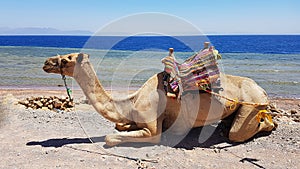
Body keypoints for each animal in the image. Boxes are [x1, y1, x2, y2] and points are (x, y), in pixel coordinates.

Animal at [42, 49, 276, 147]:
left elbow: (111, 138)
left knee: (239, 132)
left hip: (252, 102)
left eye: (67, 59)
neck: (131, 102)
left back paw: (270, 123)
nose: (46, 62)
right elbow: (119, 126)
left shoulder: (152, 128)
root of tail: (262, 90)